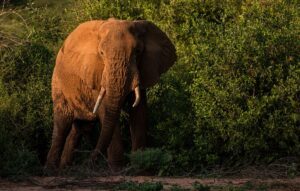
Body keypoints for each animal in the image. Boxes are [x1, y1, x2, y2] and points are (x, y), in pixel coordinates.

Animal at [44, 17, 176, 170]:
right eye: (101, 53)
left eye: (137, 52)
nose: (89, 162)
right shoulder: (96, 74)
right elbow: (105, 111)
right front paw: (117, 169)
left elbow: (140, 112)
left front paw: (140, 165)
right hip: (58, 83)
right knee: (62, 124)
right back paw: (51, 170)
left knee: (80, 128)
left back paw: (65, 168)